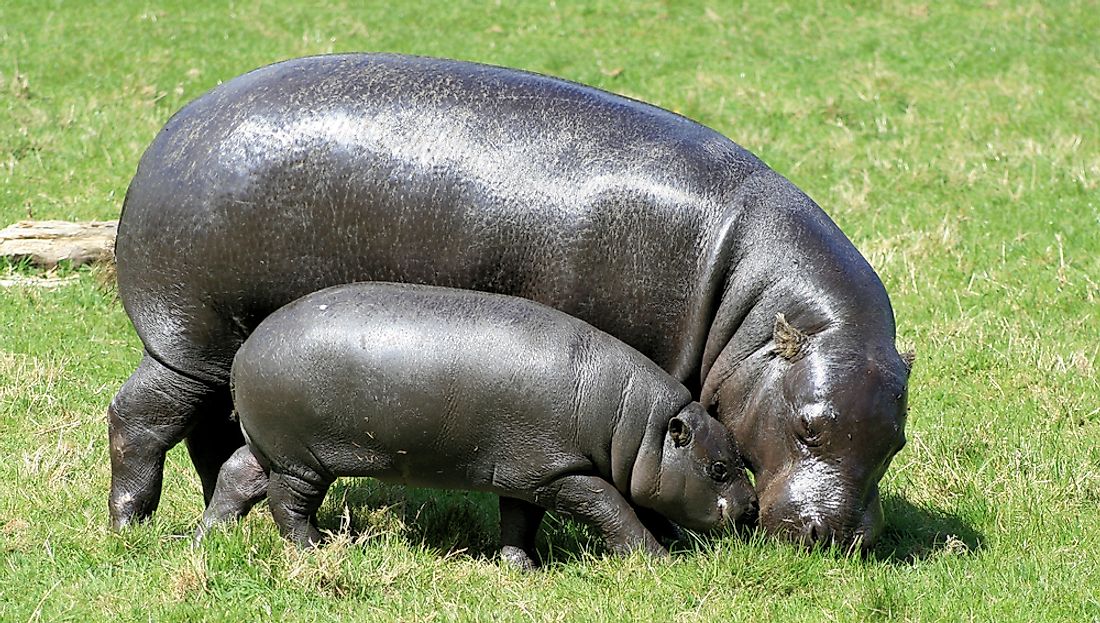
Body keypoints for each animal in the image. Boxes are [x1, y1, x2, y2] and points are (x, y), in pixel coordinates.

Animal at [198, 283, 756, 567]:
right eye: (721, 469)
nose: (752, 508)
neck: (635, 426)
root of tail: (242, 352)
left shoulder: (530, 474)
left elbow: (520, 521)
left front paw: (521, 567)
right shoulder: (564, 473)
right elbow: (613, 508)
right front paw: (661, 559)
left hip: (270, 447)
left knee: (236, 476)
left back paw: (207, 537)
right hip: (302, 459)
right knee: (285, 504)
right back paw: (319, 547)